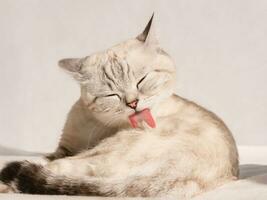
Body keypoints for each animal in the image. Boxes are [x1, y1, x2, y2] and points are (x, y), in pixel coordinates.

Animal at [0, 14, 239, 198]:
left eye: (141, 81)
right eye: (111, 94)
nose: (133, 103)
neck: (95, 123)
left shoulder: (73, 153)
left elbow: (49, 163)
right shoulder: (64, 148)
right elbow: (46, 157)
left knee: (60, 171)